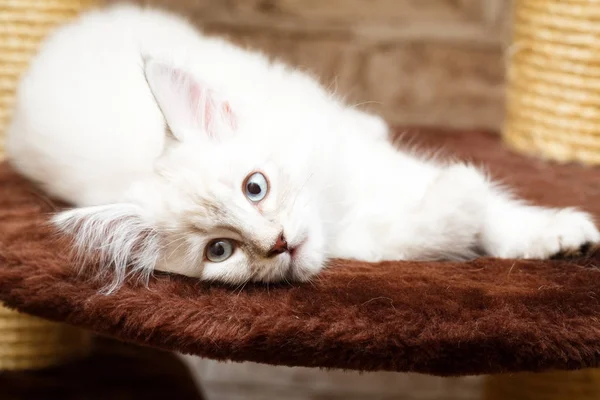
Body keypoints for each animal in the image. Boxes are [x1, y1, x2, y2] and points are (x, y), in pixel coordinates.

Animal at [5, 3, 600, 290]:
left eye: (255, 187)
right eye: (220, 251)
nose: (279, 243)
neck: (336, 211)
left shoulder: (365, 161)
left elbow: (495, 210)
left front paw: (554, 234)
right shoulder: (370, 242)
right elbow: (431, 230)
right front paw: (457, 194)